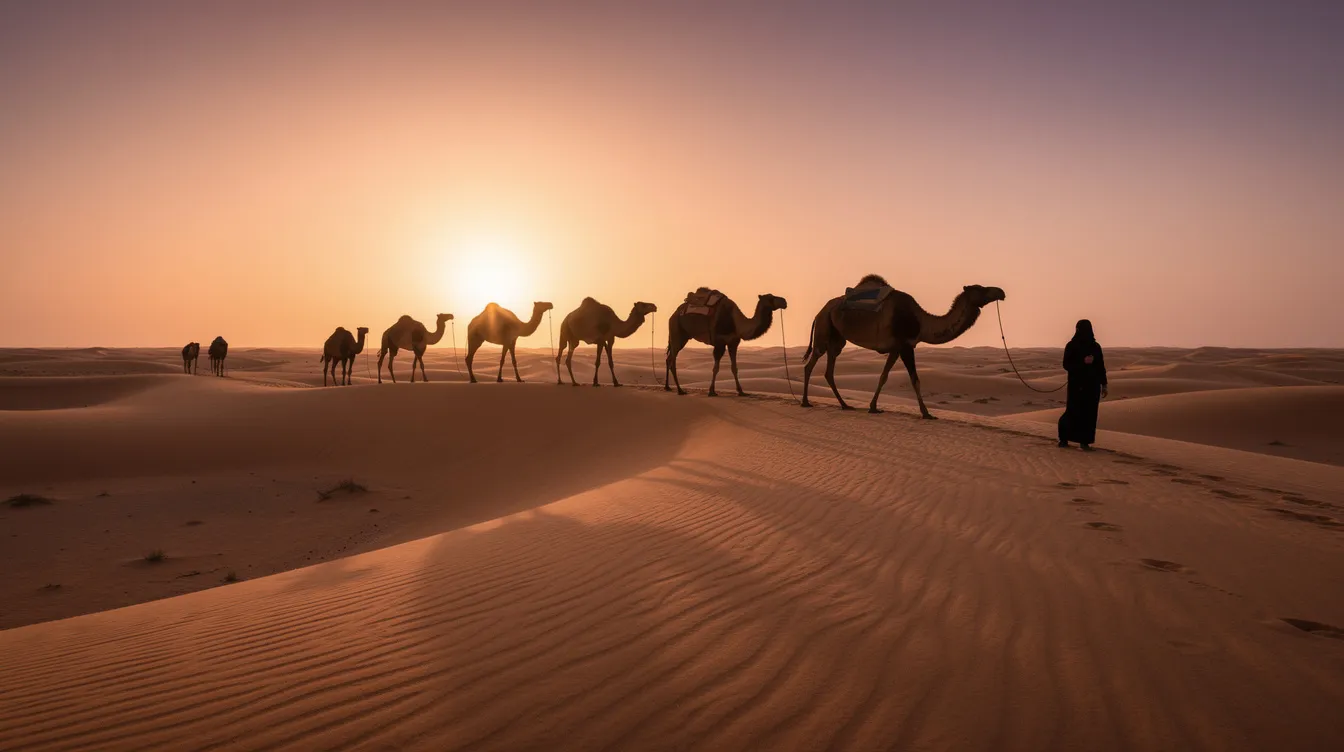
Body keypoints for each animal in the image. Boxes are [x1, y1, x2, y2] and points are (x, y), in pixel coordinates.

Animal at [800, 274, 1006, 417]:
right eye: (980, 288)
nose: (1001, 292)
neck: (922, 322)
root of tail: (819, 312)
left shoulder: (896, 348)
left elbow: (883, 376)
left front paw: (873, 407)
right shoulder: (906, 345)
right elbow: (915, 379)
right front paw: (926, 413)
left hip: (837, 339)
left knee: (829, 371)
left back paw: (844, 405)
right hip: (824, 330)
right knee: (810, 365)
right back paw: (805, 402)